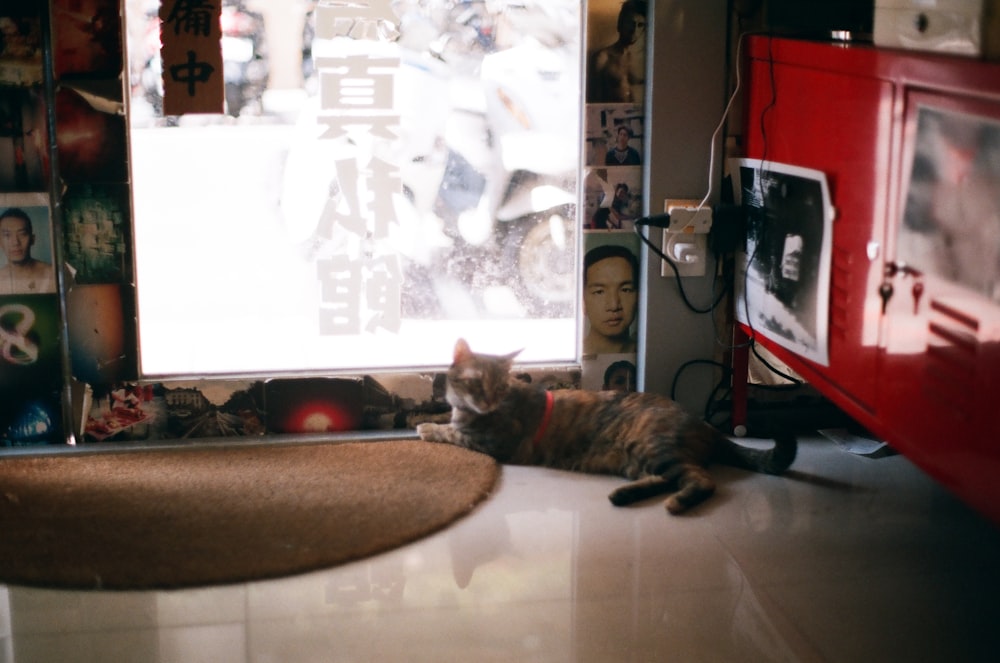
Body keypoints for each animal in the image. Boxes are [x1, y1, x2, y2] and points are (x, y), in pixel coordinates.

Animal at [416, 340, 796, 516]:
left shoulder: (495, 443)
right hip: (638, 459)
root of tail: (705, 424)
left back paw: (675, 503)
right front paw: (434, 419)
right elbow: (448, 423)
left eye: (498, 387)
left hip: (651, 446)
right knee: (669, 477)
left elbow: (453, 434)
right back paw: (624, 495)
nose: (488, 402)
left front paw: (425, 428)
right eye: (477, 383)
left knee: (701, 480)